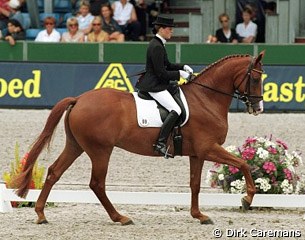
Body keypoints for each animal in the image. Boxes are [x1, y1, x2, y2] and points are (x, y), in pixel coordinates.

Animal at [13, 52, 264, 225]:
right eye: (254, 79)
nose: (259, 108)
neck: (206, 99)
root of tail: (79, 99)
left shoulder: (197, 153)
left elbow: (194, 184)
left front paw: (199, 215)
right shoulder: (209, 148)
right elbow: (243, 163)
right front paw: (247, 199)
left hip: (76, 146)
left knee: (54, 172)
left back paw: (41, 214)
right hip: (100, 150)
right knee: (97, 183)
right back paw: (120, 217)